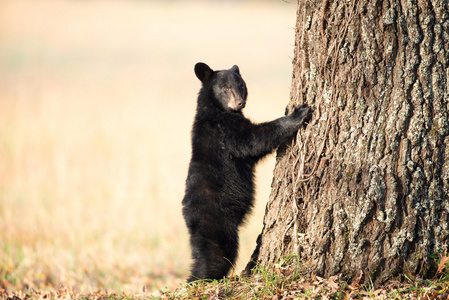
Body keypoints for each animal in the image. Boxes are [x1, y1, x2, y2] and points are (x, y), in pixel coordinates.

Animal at [180, 62, 310, 282]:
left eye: (241, 85)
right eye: (225, 88)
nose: (240, 103)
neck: (215, 109)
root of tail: (189, 218)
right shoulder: (225, 130)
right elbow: (253, 140)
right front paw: (297, 114)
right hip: (217, 220)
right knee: (217, 254)